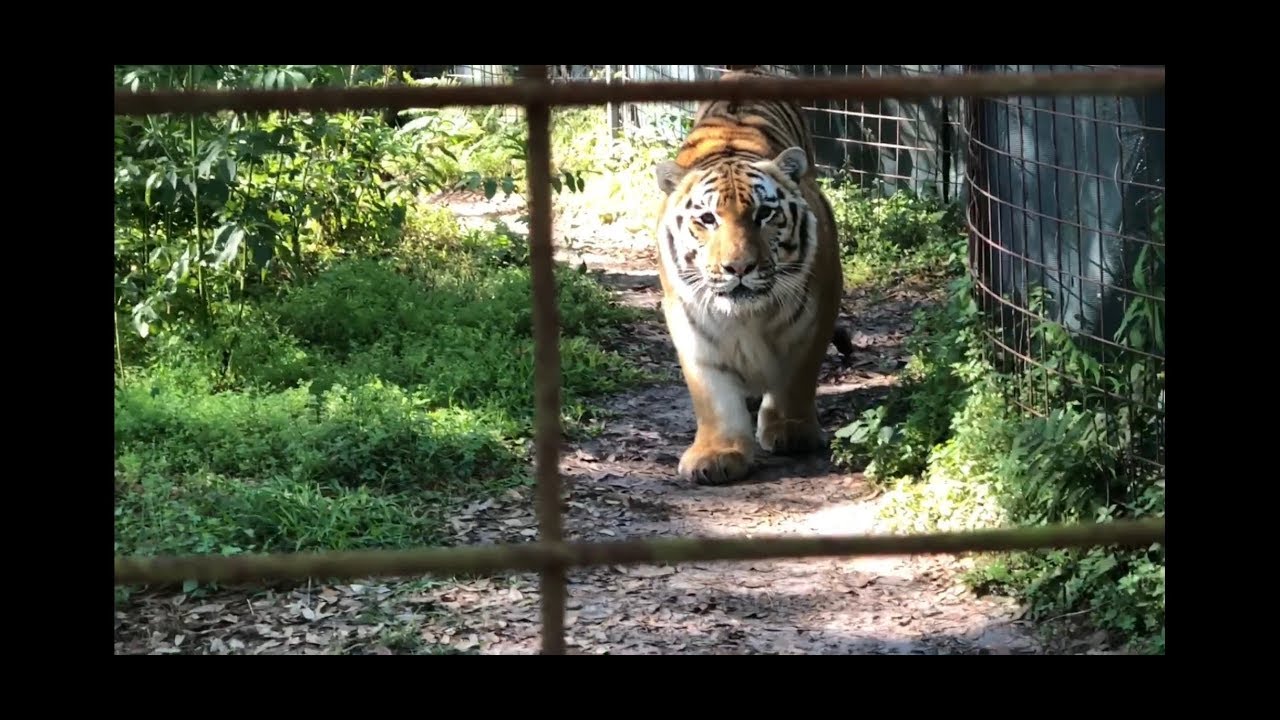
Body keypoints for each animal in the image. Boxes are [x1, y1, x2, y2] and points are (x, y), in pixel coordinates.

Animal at [652, 66, 847, 486]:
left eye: (764, 214)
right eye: (707, 218)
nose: (738, 267)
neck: (746, 315)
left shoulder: (819, 307)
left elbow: (797, 375)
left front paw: (791, 431)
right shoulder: (688, 318)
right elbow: (711, 393)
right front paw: (716, 455)